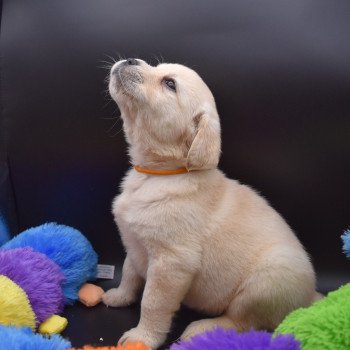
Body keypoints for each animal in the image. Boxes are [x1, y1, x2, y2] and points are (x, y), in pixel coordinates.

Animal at [102, 58, 320, 348]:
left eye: (169, 83)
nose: (131, 60)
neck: (159, 174)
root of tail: (310, 297)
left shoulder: (171, 263)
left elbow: (153, 302)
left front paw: (143, 337)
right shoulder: (134, 244)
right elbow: (129, 271)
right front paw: (119, 295)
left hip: (265, 281)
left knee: (242, 321)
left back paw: (203, 328)